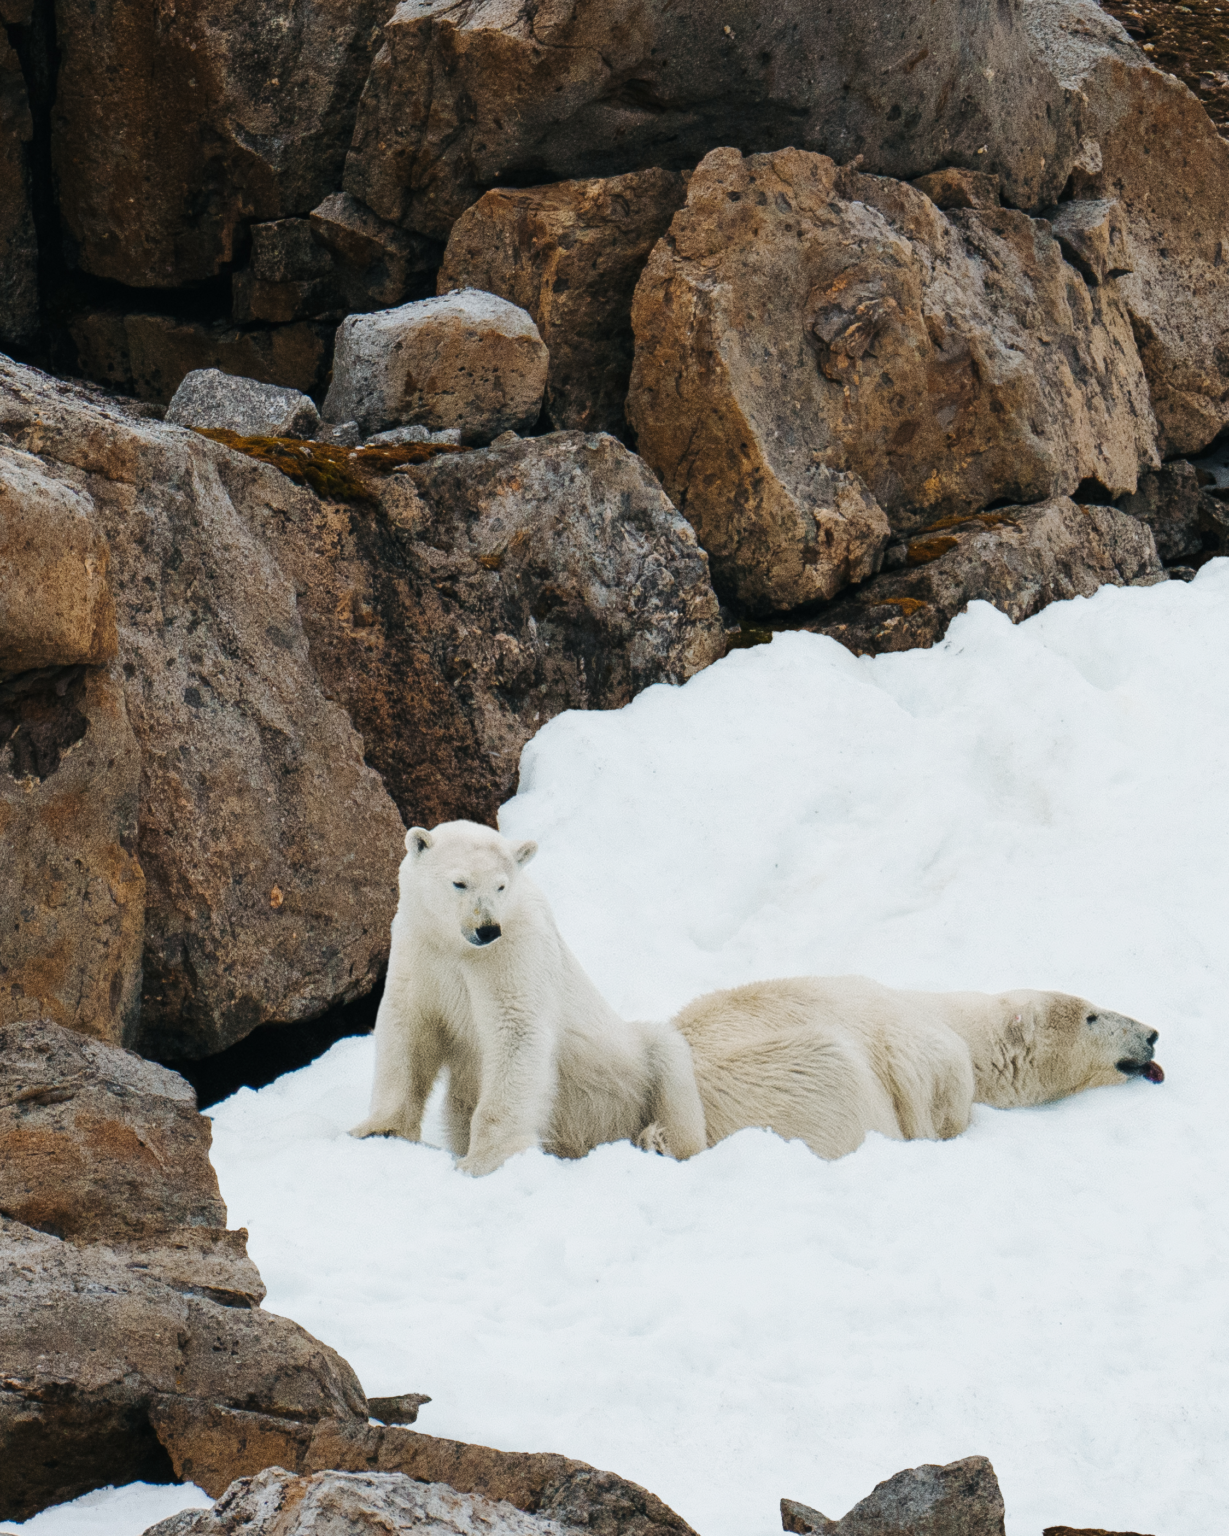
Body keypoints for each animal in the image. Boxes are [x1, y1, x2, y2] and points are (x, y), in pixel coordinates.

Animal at [350, 820, 708, 1176]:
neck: (458, 947)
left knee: (668, 1060)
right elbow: (408, 1030)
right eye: (459, 882)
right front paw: (379, 1129)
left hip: (631, 1065)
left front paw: (484, 1159)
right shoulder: (420, 949)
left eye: (501, 886)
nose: (487, 929)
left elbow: (516, 1030)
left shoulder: (514, 950)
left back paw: (659, 1143)